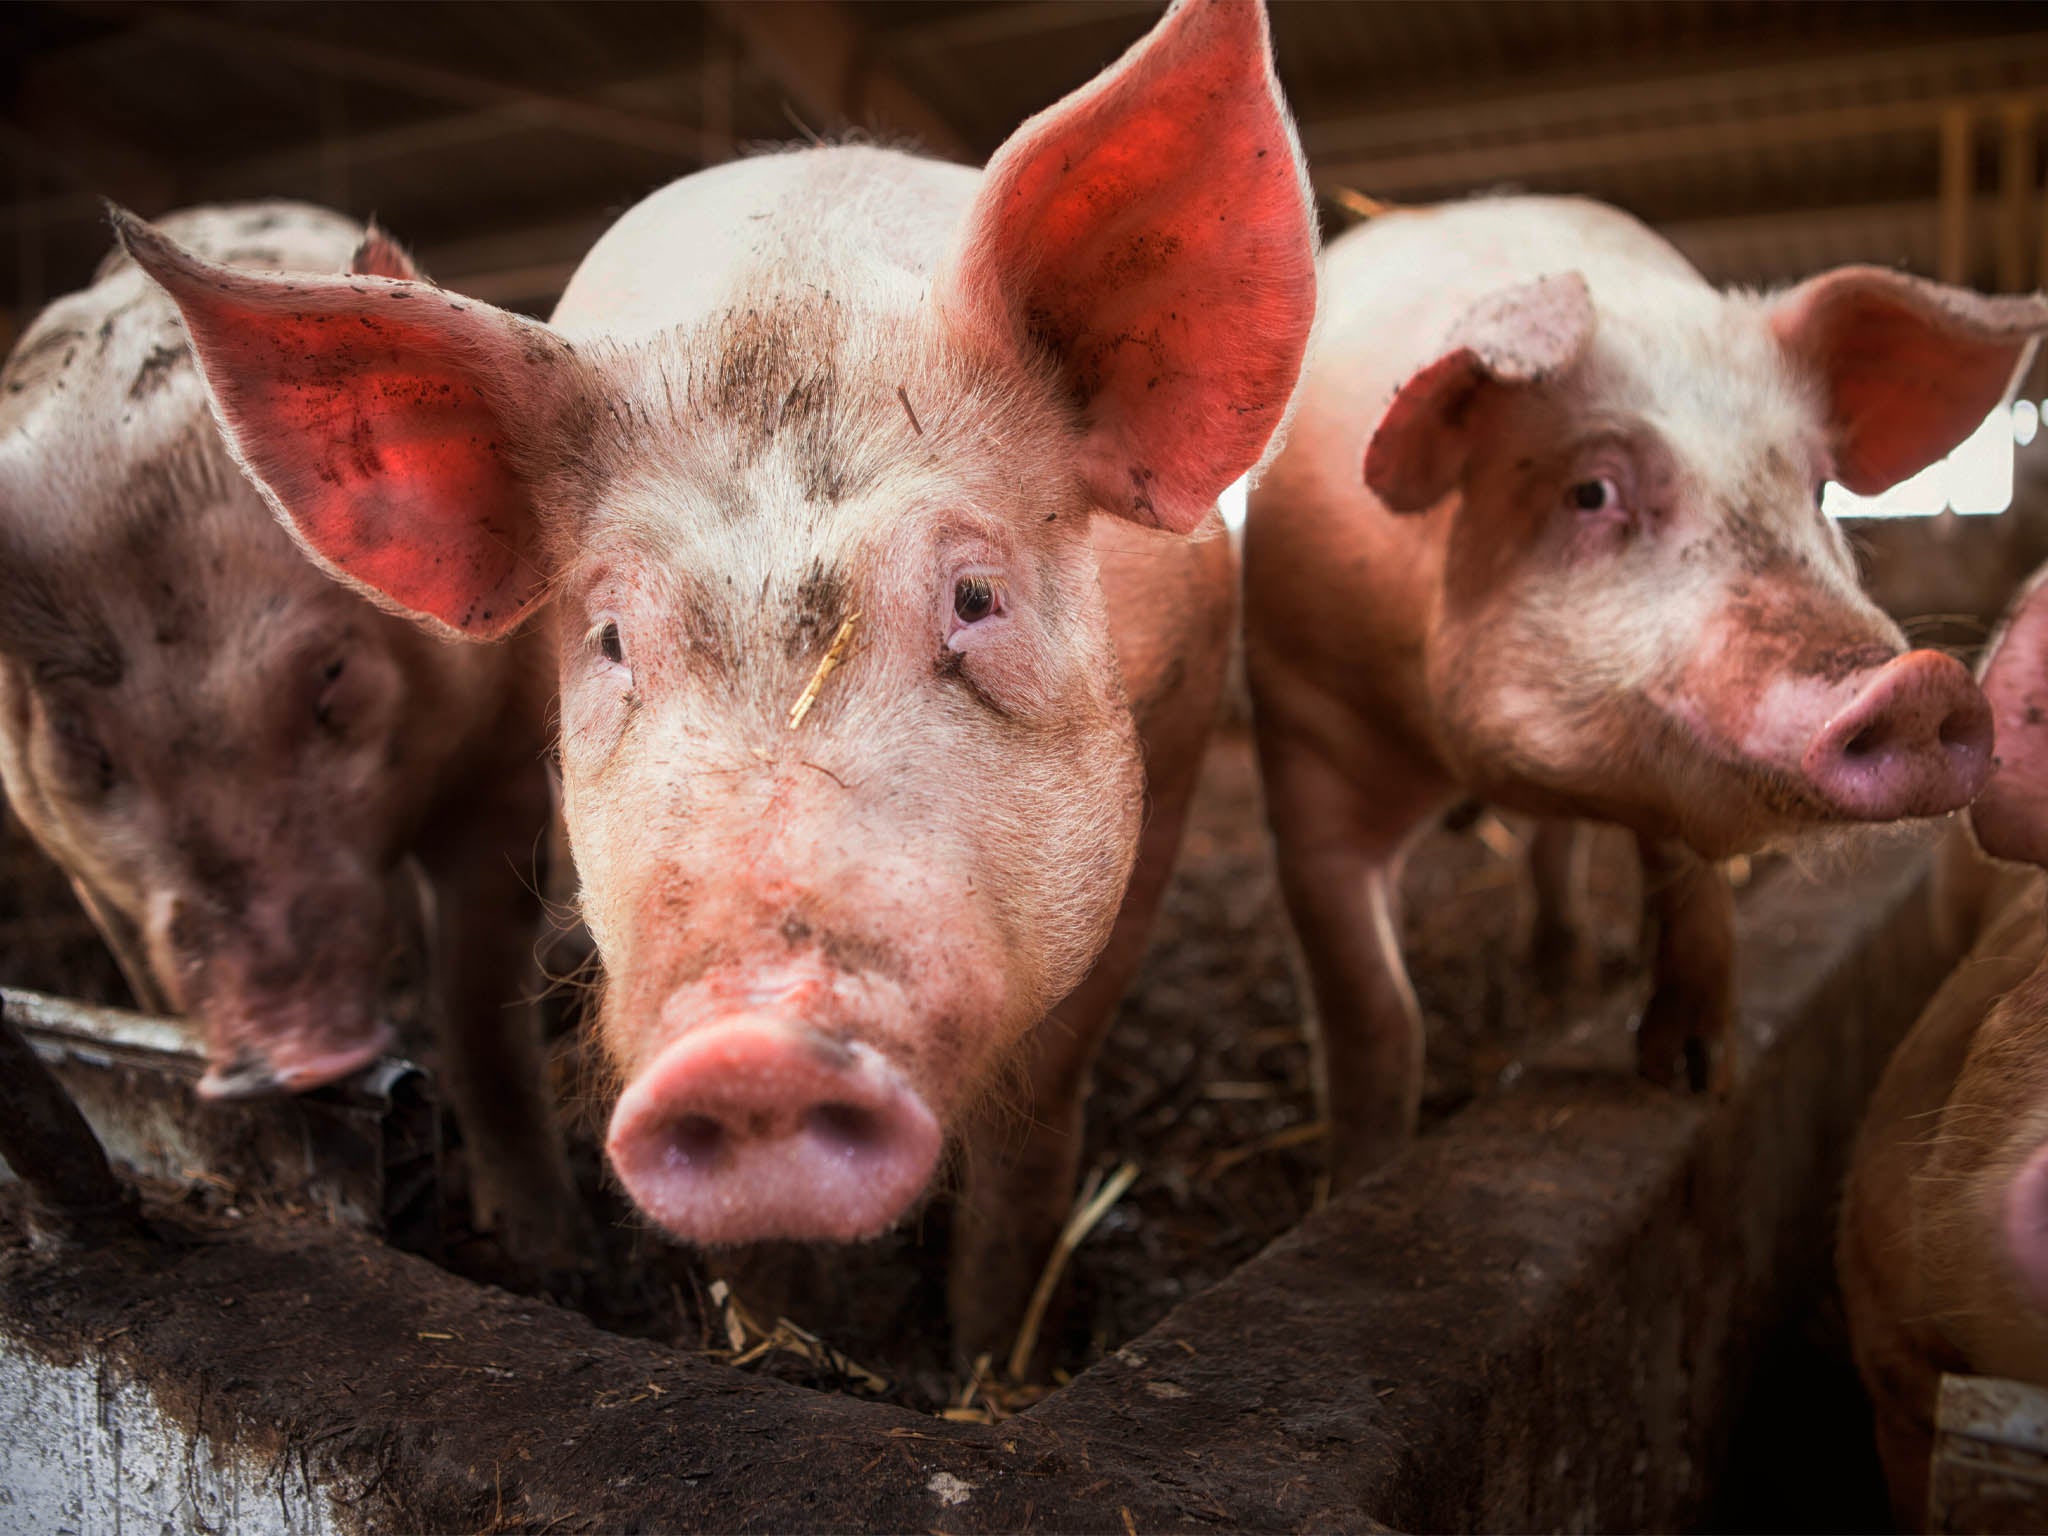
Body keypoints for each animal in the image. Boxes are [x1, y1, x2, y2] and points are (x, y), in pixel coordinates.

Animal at [2, 201, 577, 1261]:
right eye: (84, 745)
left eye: (332, 678)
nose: (293, 1055)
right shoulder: (67, 852)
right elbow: (146, 990)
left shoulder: (500, 760)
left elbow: (481, 1014)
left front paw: (554, 1257)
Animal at [119, 0, 1318, 1359]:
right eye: (608, 639)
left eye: (974, 598)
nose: (750, 1051)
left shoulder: (1175, 739)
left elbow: (1035, 1128)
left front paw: (980, 1349)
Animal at [1236, 195, 2039, 1187]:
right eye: (1591, 492)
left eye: (1818, 488)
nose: (1920, 683)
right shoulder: (1302, 724)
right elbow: (1375, 1009)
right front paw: (1361, 1178)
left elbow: (1690, 885)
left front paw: (1695, 1079)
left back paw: (1567, 971)